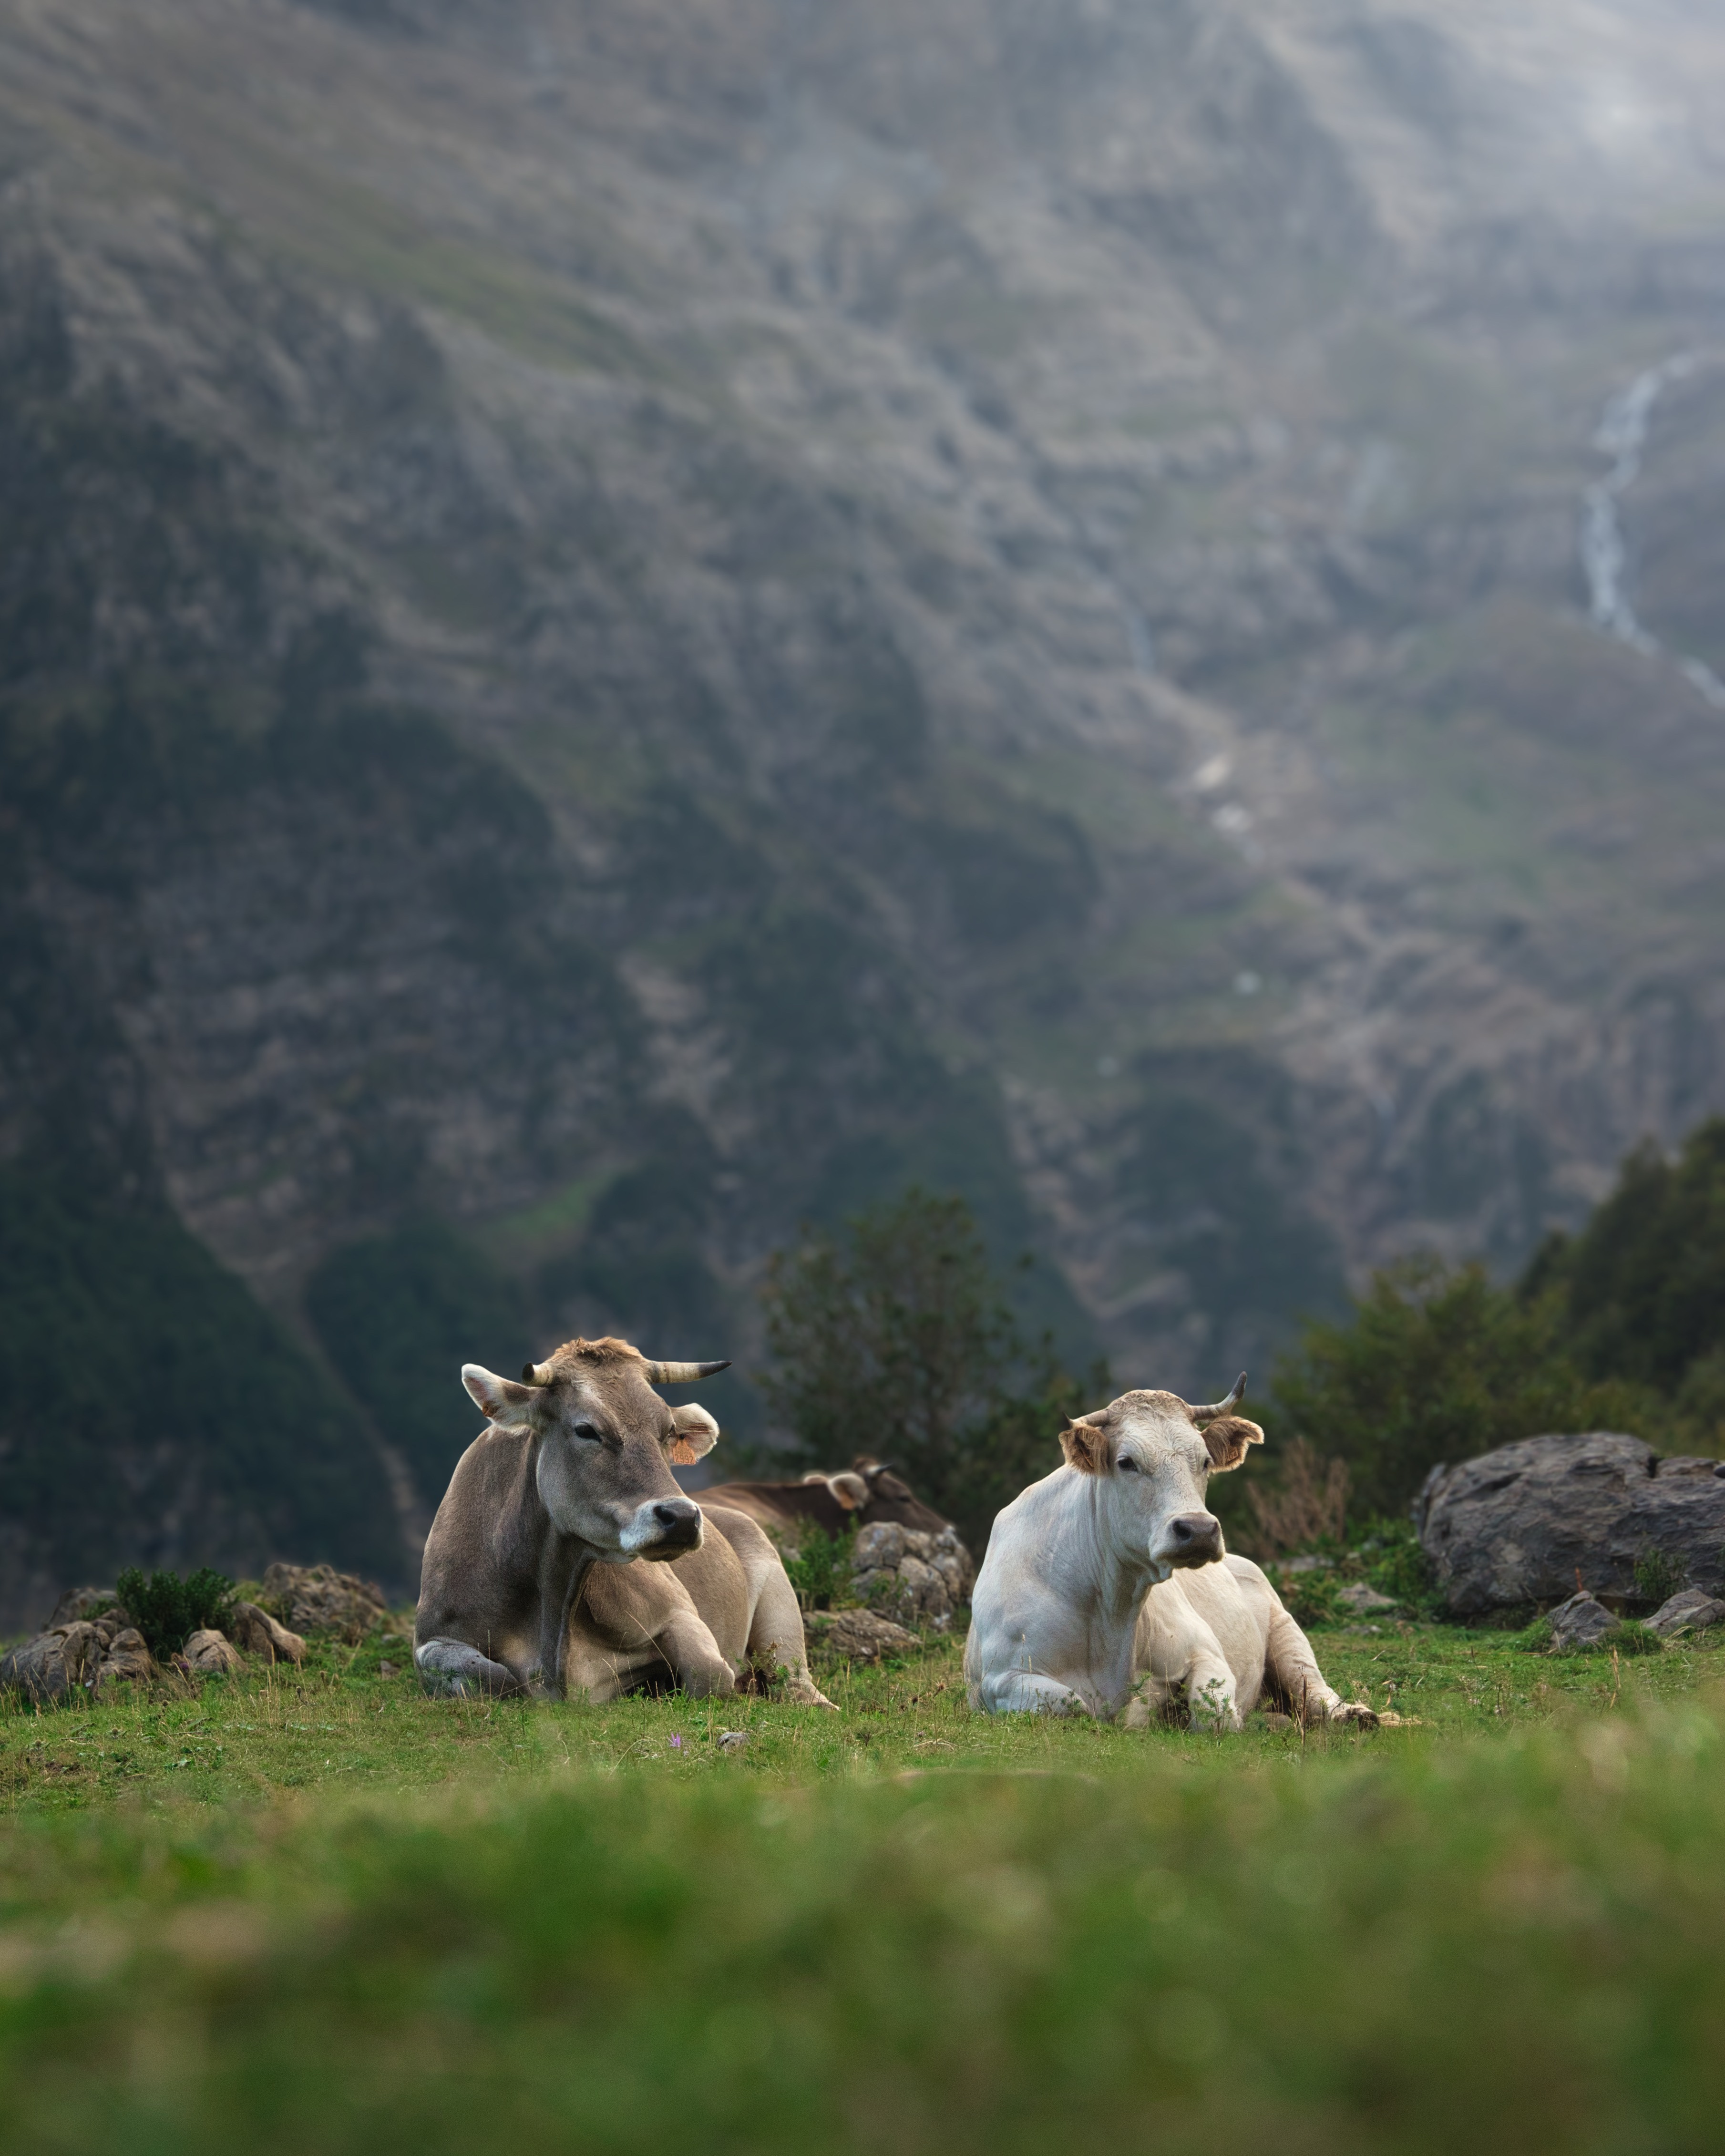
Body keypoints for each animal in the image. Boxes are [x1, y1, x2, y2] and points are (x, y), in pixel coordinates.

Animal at [414, 1336, 832, 1707]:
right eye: (586, 1430)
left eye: (668, 1431)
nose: (682, 1517)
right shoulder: (433, 1641)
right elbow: (496, 1679)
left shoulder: (678, 1612)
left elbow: (711, 1675)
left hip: (781, 1605)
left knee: (794, 1683)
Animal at [964, 1376, 1373, 1729]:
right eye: (1126, 1462)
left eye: (1206, 1461)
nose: (1199, 1530)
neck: (1110, 1610)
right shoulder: (1000, 1680)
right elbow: (1074, 1706)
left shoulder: (1206, 1651)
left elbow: (1215, 1714)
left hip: (1289, 1636)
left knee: (1315, 1693)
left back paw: (1355, 1716)